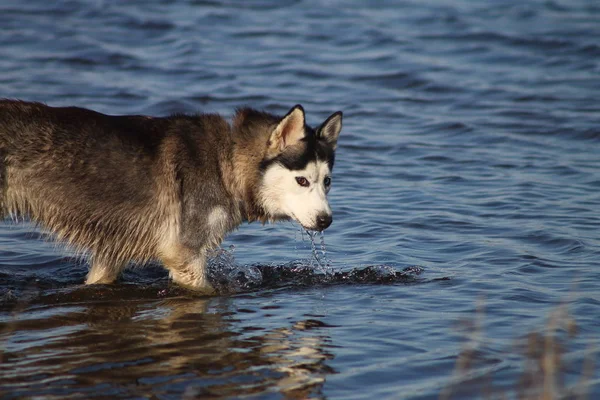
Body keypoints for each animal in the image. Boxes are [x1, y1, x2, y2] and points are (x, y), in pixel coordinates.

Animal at [0, 100, 342, 294]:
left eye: (327, 182)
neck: (225, 162)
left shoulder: (110, 255)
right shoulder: (184, 257)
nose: (326, 221)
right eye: (301, 180)